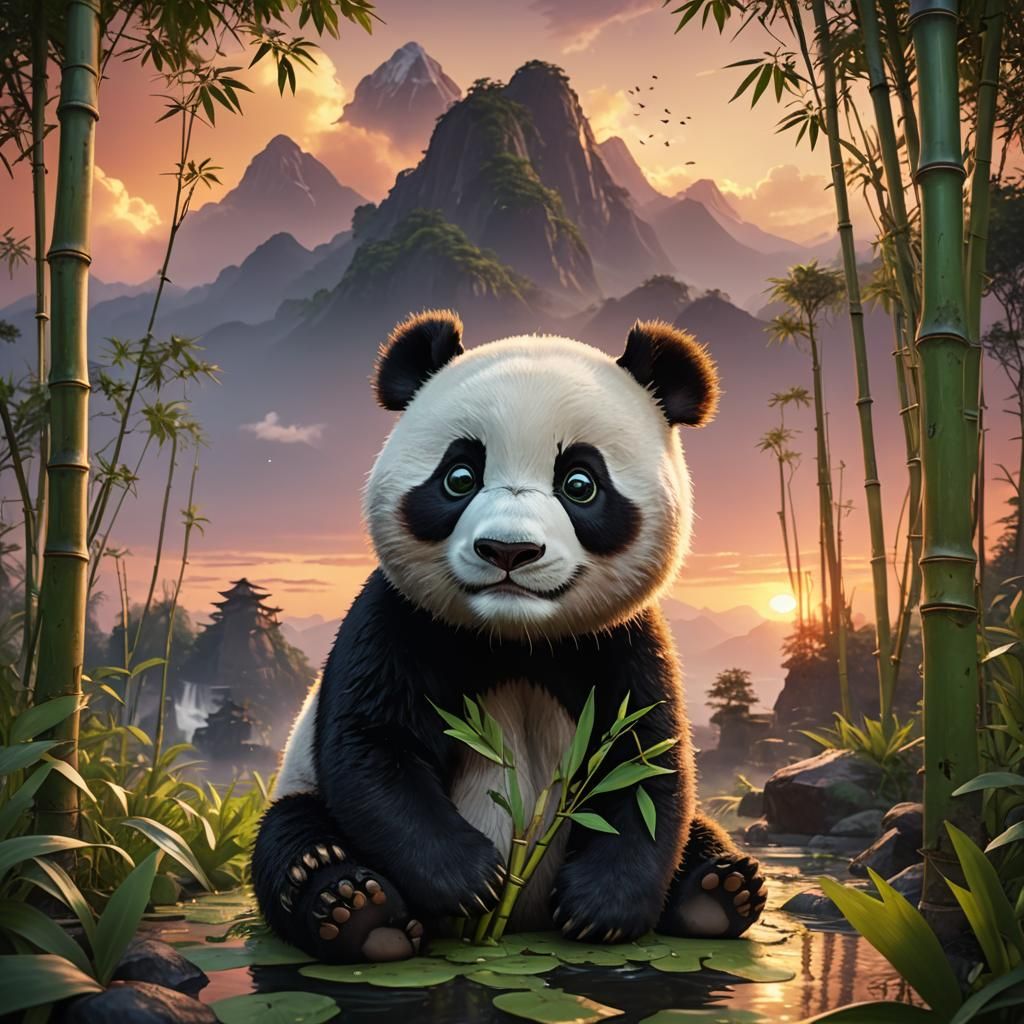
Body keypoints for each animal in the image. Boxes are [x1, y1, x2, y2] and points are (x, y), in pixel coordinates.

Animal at [251, 310, 767, 964]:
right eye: (459, 476)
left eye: (580, 483)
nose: (508, 550)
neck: (516, 635)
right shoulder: (399, 620)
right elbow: (373, 749)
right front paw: (471, 877)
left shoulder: (623, 642)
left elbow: (644, 767)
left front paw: (602, 907)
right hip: (297, 790)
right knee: (292, 837)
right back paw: (356, 910)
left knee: (702, 834)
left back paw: (718, 893)